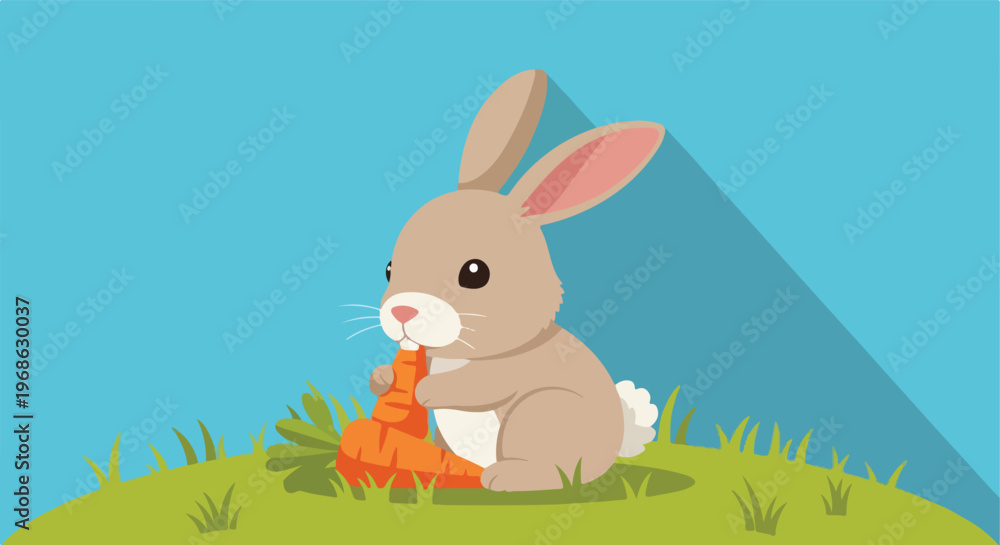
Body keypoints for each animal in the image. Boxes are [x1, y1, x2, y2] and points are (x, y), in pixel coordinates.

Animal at [369, 69, 664, 491]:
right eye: (390, 268)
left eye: (475, 273)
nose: (402, 312)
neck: (462, 353)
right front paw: (384, 376)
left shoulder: (506, 372)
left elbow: (478, 385)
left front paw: (426, 390)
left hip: (540, 411)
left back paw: (505, 478)